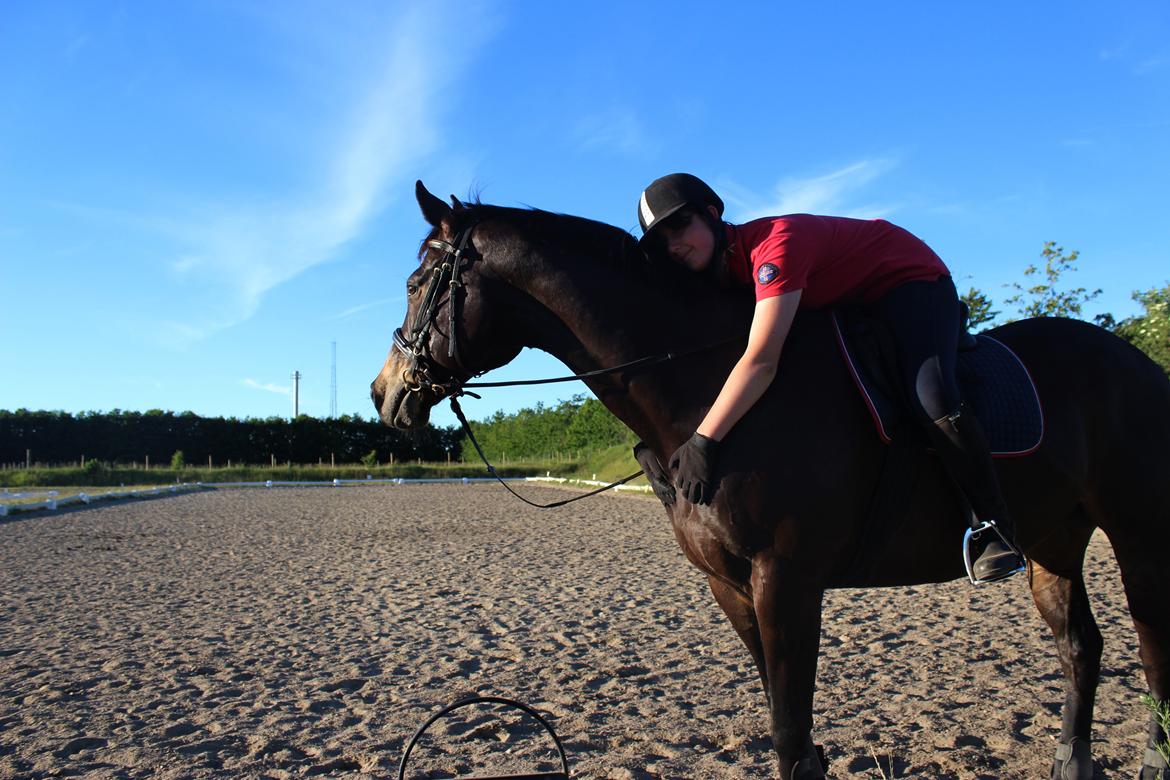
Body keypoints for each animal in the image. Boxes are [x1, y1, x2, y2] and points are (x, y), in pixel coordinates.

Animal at [372, 181, 1170, 780]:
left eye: (415, 283)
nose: (386, 394)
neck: (711, 389)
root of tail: (1138, 361)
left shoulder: (785, 576)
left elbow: (789, 727)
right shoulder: (729, 583)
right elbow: (787, 722)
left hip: (1137, 534)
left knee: (1151, 647)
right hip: (1054, 543)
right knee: (1081, 648)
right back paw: (1073, 764)